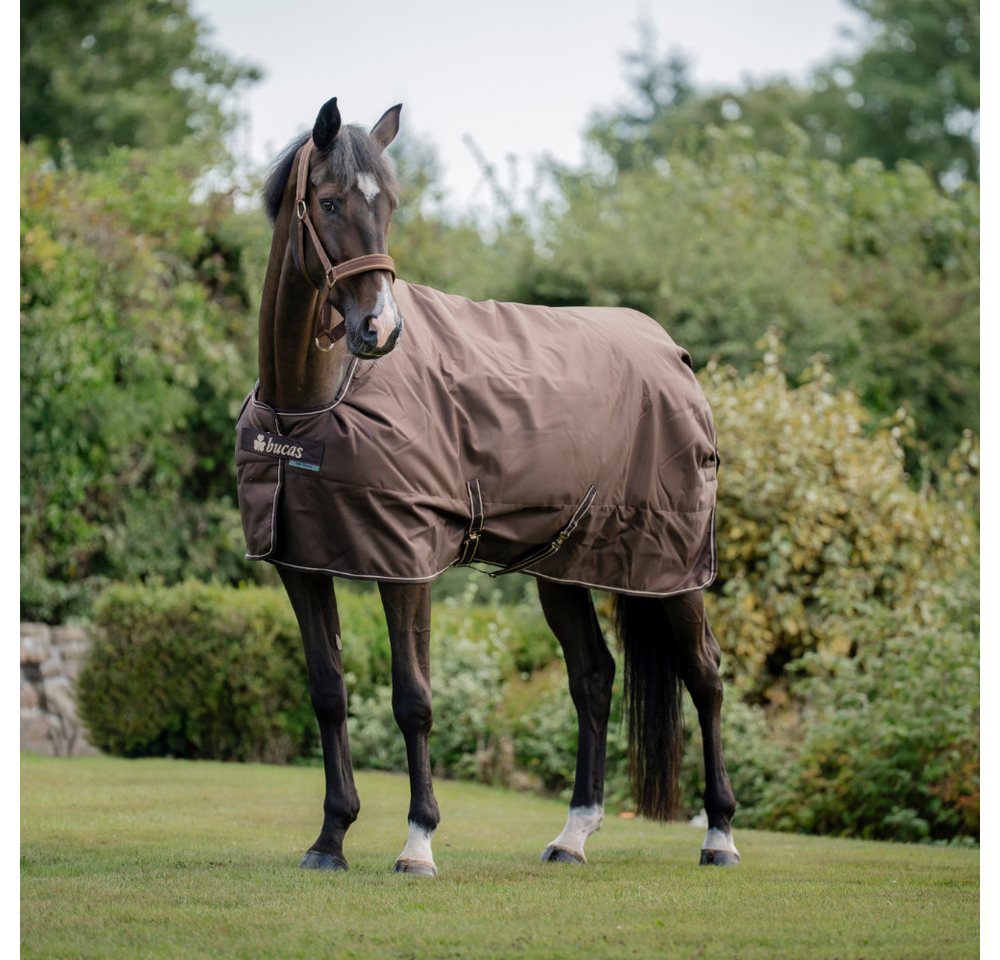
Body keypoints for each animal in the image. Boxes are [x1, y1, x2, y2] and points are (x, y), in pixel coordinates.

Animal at [235, 97, 739, 876]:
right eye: (329, 201)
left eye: (392, 206)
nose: (380, 328)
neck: (312, 403)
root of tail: (673, 352)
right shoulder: (301, 563)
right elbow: (327, 692)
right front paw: (330, 839)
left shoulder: (405, 563)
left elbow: (412, 698)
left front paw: (418, 842)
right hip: (566, 564)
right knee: (593, 677)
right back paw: (573, 835)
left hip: (672, 567)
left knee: (705, 675)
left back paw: (719, 835)